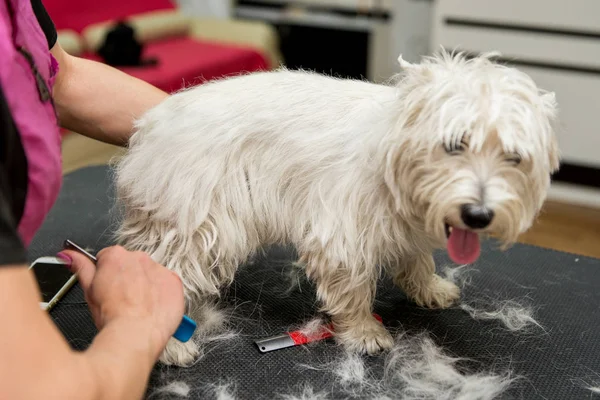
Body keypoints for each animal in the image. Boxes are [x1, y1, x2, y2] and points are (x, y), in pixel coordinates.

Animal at [115, 50, 560, 366]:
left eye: (514, 157)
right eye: (454, 144)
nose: (478, 215)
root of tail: (154, 122)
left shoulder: (409, 227)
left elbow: (416, 258)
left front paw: (430, 288)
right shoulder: (343, 232)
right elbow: (353, 287)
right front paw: (363, 333)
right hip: (197, 226)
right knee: (168, 273)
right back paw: (170, 344)